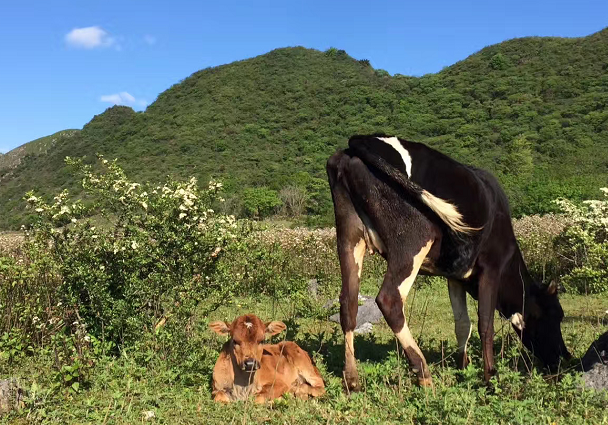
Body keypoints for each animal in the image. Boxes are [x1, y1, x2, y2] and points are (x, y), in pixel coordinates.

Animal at [328, 133, 568, 388]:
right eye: (556, 316)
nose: (566, 357)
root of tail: (362, 140)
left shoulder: (455, 275)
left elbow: (462, 323)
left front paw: (464, 368)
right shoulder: (492, 267)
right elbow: (485, 324)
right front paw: (490, 377)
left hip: (349, 235)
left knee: (348, 303)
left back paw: (352, 379)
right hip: (412, 239)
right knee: (389, 300)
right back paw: (424, 373)